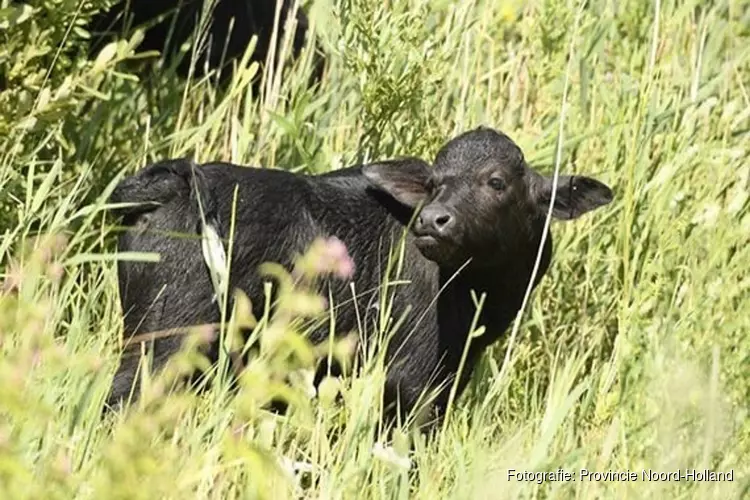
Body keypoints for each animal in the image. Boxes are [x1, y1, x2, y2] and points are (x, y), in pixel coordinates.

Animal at [107, 127, 616, 424]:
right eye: (434, 182)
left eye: (496, 181)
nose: (433, 220)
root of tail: (177, 181)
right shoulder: (412, 382)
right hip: (167, 345)